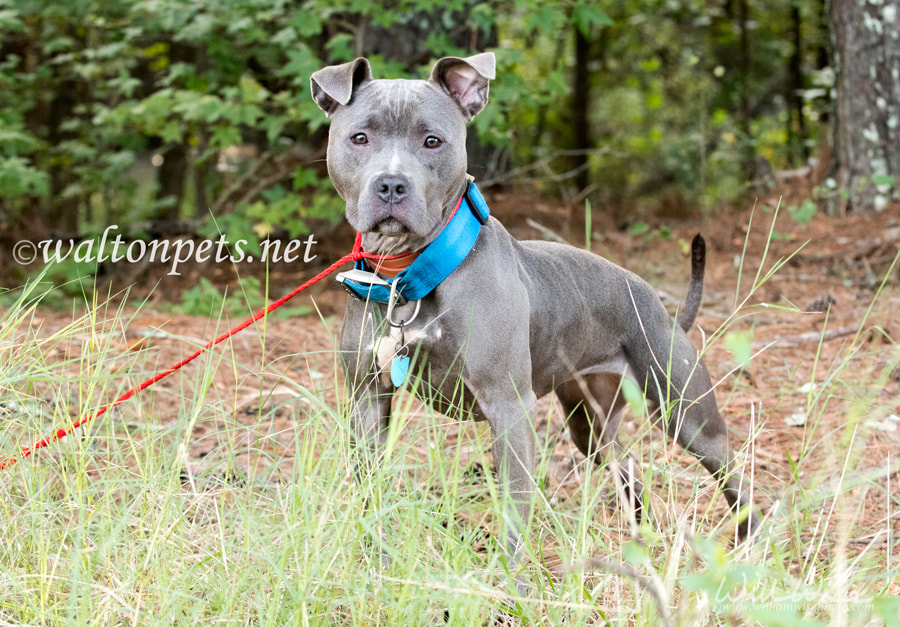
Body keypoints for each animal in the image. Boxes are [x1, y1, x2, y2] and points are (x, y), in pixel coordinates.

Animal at [312, 51, 760, 568]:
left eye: (432, 141)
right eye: (359, 137)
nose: (391, 185)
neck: (412, 273)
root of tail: (660, 307)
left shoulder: (509, 408)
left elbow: (514, 510)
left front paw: (513, 580)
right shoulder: (368, 401)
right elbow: (371, 493)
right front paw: (375, 563)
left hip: (687, 413)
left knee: (732, 471)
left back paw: (749, 539)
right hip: (590, 424)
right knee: (626, 462)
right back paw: (640, 537)